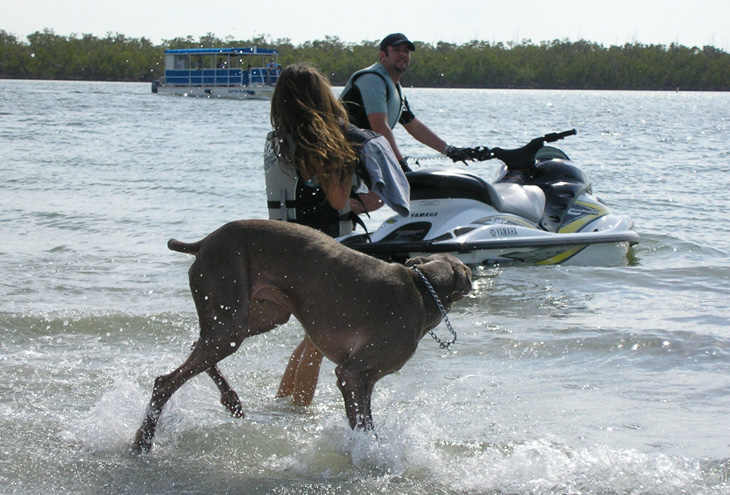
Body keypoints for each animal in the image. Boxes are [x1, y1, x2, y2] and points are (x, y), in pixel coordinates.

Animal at [132, 221, 472, 454]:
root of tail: (204, 242)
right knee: (165, 382)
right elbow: (363, 427)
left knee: (196, 349)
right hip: (229, 315)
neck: (423, 289)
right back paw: (142, 442)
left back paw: (231, 400)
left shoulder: (366, 380)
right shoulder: (352, 374)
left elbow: (366, 422)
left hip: (258, 316)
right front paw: (368, 457)